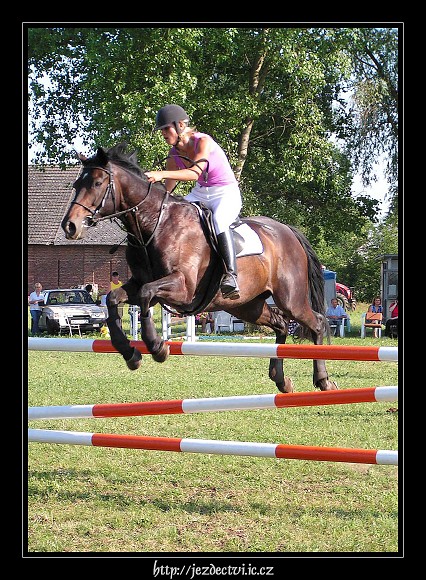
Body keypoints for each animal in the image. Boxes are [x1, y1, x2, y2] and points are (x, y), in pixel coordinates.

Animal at [61, 143, 338, 394]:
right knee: (280, 325)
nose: (70, 226)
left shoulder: (183, 288)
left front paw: (157, 347)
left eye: (97, 183)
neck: (153, 224)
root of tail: (287, 231)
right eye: (76, 185)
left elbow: (146, 294)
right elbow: (113, 299)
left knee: (317, 323)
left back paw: (323, 380)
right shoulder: (139, 283)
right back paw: (281, 380)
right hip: (248, 305)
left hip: (290, 299)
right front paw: (130, 353)